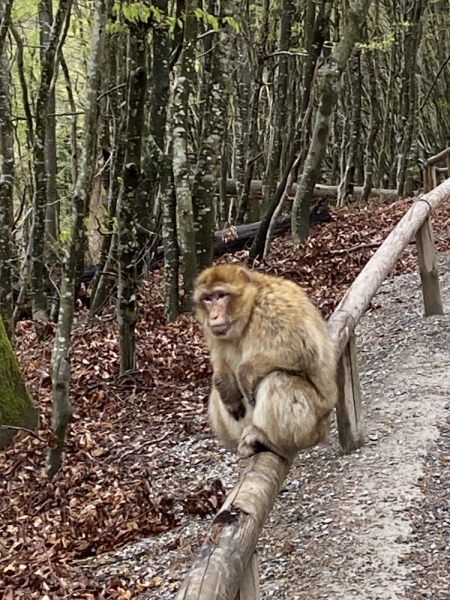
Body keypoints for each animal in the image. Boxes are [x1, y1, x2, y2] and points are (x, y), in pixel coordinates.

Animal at [193, 264, 338, 460]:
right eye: (207, 299)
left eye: (221, 295)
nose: (214, 316)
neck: (249, 313)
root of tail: (324, 431)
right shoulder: (212, 331)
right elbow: (220, 361)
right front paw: (224, 384)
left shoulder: (273, 307)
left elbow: (304, 349)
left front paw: (245, 372)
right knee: (219, 392)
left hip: (311, 426)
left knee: (278, 379)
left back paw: (270, 442)